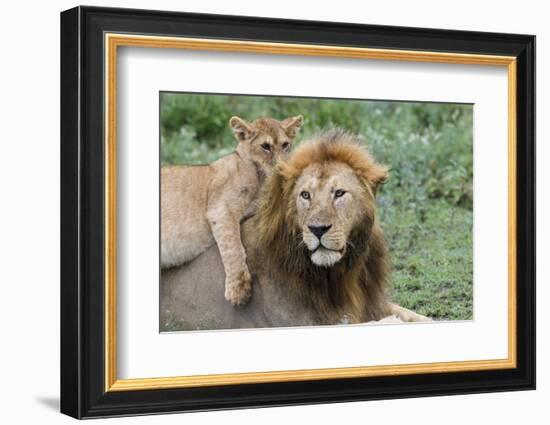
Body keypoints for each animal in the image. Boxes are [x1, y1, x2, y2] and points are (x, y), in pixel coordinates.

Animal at [162, 131, 430, 330]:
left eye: (339, 193)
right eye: (305, 195)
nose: (318, 229)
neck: (342, 272)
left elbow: (412, 315)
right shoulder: (297, 320)